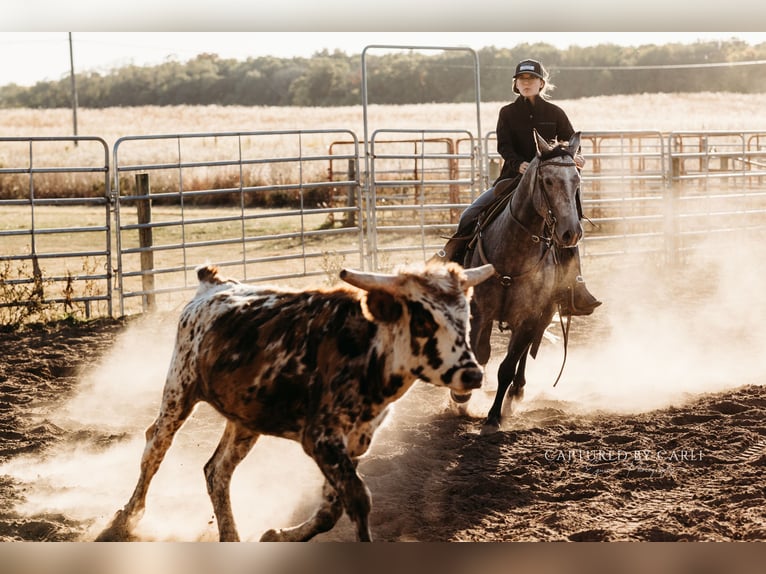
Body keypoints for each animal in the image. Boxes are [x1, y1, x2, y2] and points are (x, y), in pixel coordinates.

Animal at [452, 129, 584, 436]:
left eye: (577, 180)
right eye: (547, 181)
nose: (570, 233)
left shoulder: (529, 317)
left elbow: (508, 366)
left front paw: (493, 418)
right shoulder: (479, 313)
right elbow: (479, 354)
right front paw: (461, 397)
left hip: (543, 315)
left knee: (523, 355)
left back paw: (516, 393)